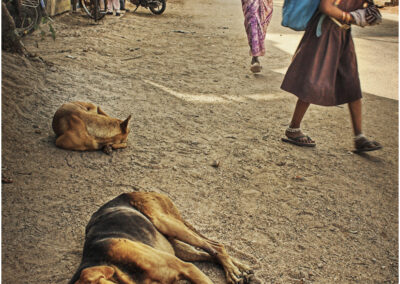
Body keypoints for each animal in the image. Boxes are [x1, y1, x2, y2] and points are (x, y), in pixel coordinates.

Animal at [69, 192, 262, 282]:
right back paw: (239, 269)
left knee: (217, 247)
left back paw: (233, 272)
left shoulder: (187, 268)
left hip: (166, 222)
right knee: (212, 252)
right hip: (179, 248)